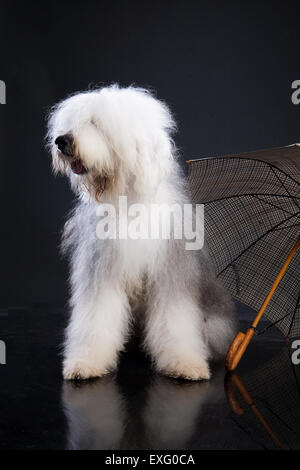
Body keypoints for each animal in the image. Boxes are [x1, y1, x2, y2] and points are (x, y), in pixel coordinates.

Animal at [46, 85, 237, 382]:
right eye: (73, 122)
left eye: (95, 123)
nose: (61, 141)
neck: (127, 202)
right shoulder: (101, 271)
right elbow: (95, 318)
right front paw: (85, 363)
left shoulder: (170, 272)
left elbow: (175, 321)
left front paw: (186, 365)